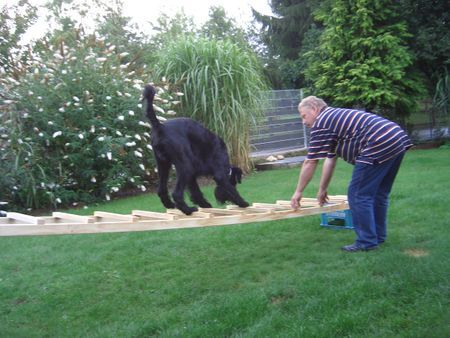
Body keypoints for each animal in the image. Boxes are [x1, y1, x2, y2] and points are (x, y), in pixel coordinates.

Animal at [142, 86, 250, 215]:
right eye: (234, 182)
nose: (222, 200)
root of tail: (160, 127)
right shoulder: (218, 172)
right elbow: (230, 188)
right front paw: (243, 202)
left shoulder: (192, 176)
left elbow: (195, 191)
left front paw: (205, 205)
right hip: (185, 167)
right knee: (177, 194)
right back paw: (188, 210)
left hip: (163, 165)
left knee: (161, 190)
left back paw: (170, 205)